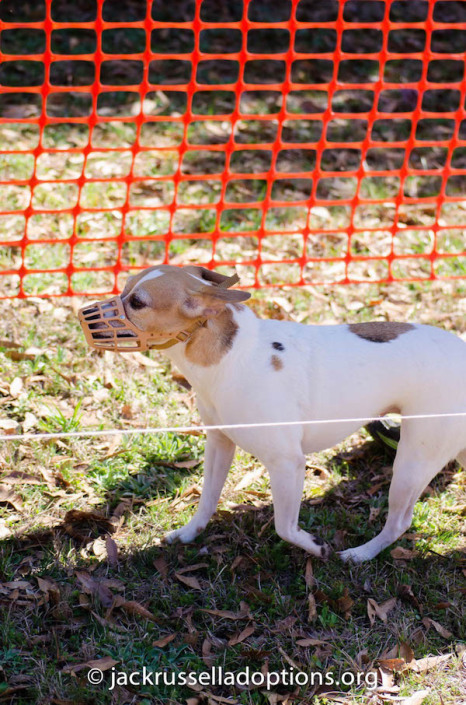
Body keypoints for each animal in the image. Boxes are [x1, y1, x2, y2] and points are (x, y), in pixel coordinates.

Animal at [80, 266, 466, 564]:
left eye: (138, 302)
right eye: (125, 287)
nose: (83, 316)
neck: (230, 355)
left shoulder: (287, 464)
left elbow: (285, 526)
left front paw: (315, 546)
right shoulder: (219, 444)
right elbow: (206, 500)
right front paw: (190, 533)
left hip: (412, 463)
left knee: (399, 521)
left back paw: (361, 553)